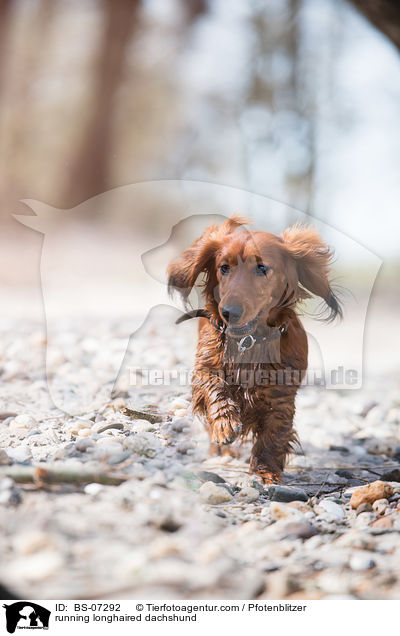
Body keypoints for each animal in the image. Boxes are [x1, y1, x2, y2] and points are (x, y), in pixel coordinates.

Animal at [167, 216, 342, 484]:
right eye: (224, 267)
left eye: (261, 268)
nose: (229, 312)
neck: (247, 342)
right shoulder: (205, 367)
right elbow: (214, 387)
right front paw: (224, 423)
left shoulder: (280, 395)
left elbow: (273, 436)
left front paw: (265, 472)